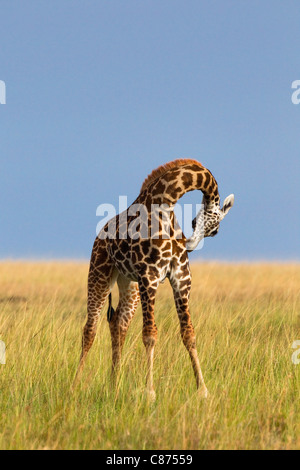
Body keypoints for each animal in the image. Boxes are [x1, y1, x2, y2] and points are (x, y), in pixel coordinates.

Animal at [73, 160, 234, 398]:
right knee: (90, 329)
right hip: (99, 272)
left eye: (213, 232)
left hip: (128, 282)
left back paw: (114, 385)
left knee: (119, 324)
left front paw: (203, 390)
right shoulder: (149, 276)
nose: (189, 245)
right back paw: (75, 384)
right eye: (194, 222)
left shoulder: (181, 278)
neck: (166, 203)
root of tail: (100, 234)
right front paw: (149, 391)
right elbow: (150, 334)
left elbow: (189, 333)